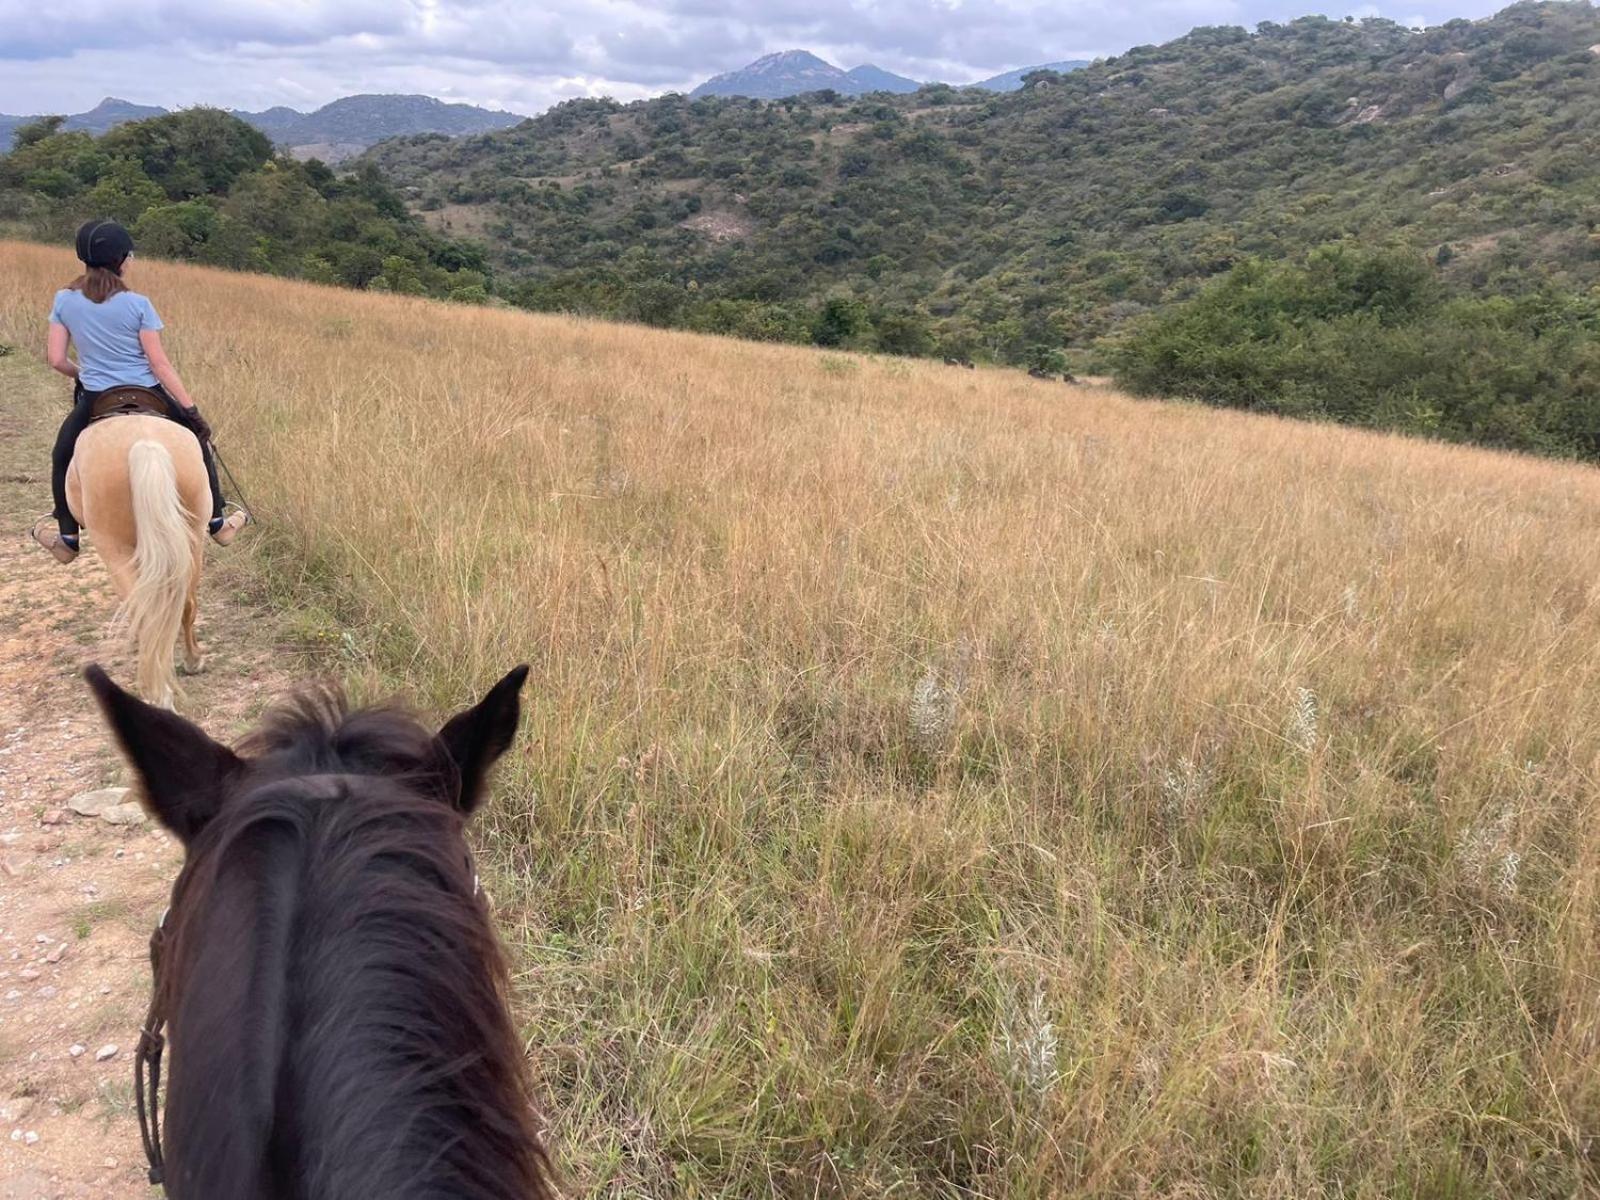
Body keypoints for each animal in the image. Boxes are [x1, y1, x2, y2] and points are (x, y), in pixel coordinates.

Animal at [67, 416, 209, 710]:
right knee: (186, 604)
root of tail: (145, 444)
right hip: (193, 538)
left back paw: (159, 694)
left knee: (145, 612)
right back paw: (192, 661)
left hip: (113, 549)